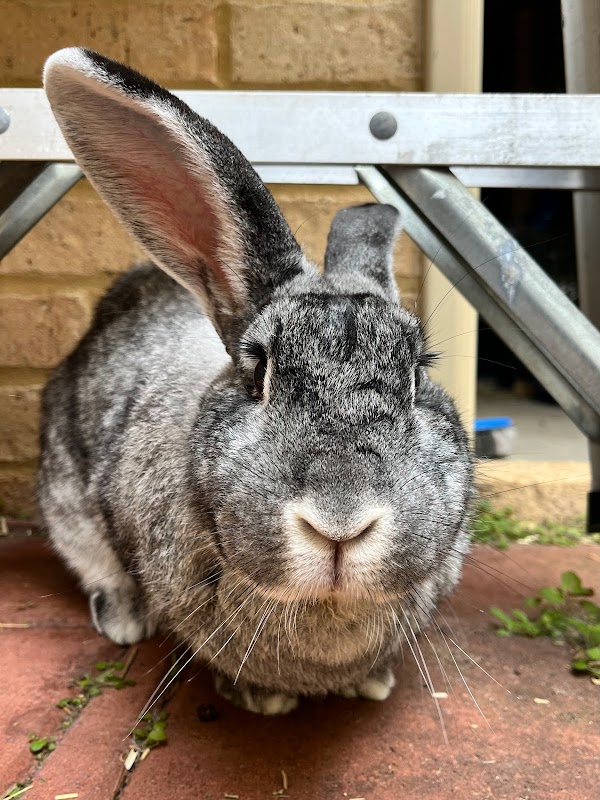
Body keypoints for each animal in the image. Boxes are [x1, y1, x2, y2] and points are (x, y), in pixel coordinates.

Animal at [39, 48, 474, 715]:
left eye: (415, 373)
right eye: (258, 372)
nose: (340, 521)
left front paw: (371, 682)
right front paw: (261, 698)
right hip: (66, 496)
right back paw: (126, 619)